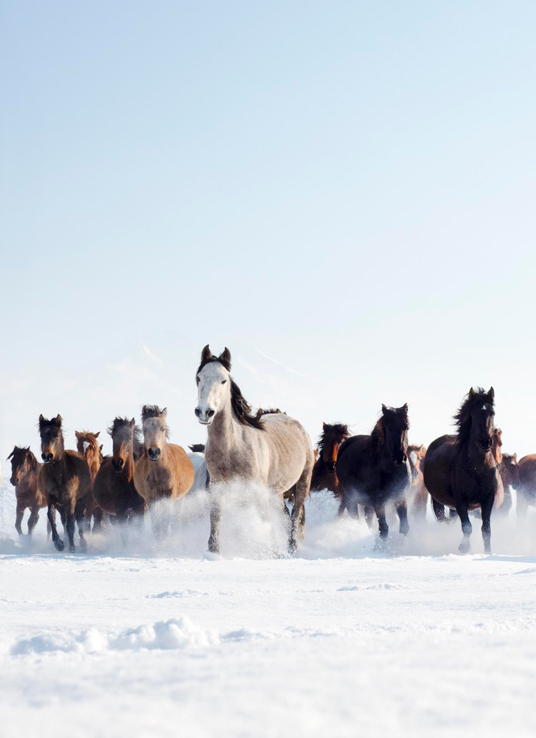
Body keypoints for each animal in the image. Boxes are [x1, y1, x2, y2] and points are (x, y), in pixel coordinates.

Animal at [38, 412, 91, 548]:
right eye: (41, 435)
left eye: (56, 435)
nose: (47, 456)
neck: (60, 476)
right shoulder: (51, 498)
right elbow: (51, 517)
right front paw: (59, 543)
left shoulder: (71, 499)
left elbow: (72, 523)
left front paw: (72, 547)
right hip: (60, 505)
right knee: (64, 520)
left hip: (81, 500)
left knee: (79, 518)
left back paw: (82, 542)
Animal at [134, 406, 195, 536]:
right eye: (144, 429)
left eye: (163, 428)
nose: (154, 452)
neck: (159, 473)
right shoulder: (151, 498)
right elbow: (156, 526)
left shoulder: (170, 496)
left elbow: (166, 522)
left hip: (180, 499)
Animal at [195, 344, 314, 552]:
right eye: (198, 378)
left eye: (223, 380)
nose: (204, 412)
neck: (232, 448)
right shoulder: (218, 486)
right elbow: (216, 518)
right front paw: (214, 551)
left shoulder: (256, 491)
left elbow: (264, 522)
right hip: (277, 492)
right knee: (284, 516)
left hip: (302, 484)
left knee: (295, 515)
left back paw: (291, 548)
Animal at [336, 402, 410, 540]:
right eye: (388, 428)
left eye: (406, 427)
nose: (399, 457)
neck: (390, 469)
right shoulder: (378, 501)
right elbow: (384, 529)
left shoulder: (401, 497)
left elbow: (404, 528)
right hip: (351, 499)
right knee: (355, 516)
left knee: (368, 519)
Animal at [422, 386, 502, 552]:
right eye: (473, 413)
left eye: (492, 413)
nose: (485, 442)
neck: (478, 469)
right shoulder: (460, 501)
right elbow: (467, 527)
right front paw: (463, 548)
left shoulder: (488, 500)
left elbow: (486, 529)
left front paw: (488, 552)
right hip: (439, 502)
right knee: (443, 520)